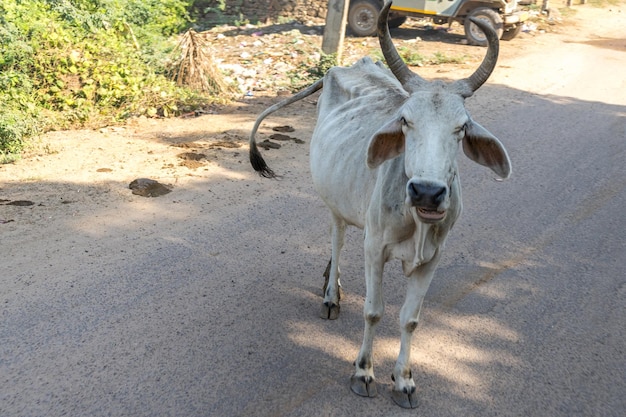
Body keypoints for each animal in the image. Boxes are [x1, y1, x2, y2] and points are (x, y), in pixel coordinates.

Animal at [246, 1, 510, 408]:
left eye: (461, 127)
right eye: (405, 121)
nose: (427, 192)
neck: (416, 220)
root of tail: (349, 65)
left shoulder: (432, 259)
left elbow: (410, 319)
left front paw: (404, 380)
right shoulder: (375, 249)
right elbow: (373, 312)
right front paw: (363, 372)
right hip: (334, 204)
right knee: (338, 241)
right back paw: (331, 293)